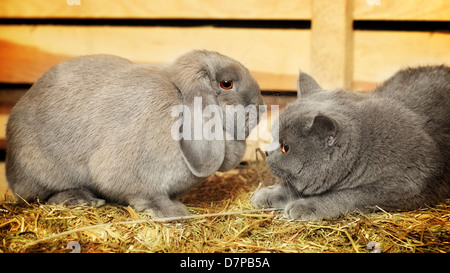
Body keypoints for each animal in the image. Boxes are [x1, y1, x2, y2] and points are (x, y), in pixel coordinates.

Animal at [7, 49, 264, 217]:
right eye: (226, 83)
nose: (261, 107)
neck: (179, 97)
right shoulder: (132, 175)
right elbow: (146, 195)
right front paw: (174, 212)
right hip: (40, 169)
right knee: (43, 195)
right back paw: (82, 199)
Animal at [253, 65, 450, 220]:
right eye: (273, 136)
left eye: (285, 148)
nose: (267, 152)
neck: (366, 151)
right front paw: (267, 194)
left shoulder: (402, 186)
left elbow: (345, 195)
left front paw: (306, 206)